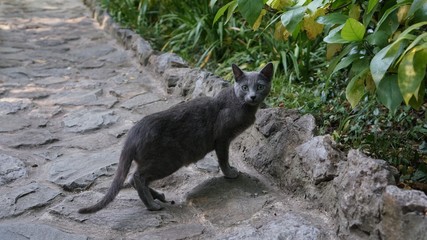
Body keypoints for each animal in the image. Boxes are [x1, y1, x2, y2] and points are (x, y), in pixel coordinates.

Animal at [78, 62, 272, 213]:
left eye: (260, 86)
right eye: (245, 87)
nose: (252, 96)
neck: (242, 105)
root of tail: (133, 133)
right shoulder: (222, 139)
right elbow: (223, 158)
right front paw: (230, 172)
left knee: (134, 178)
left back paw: (158, 196)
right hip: (169, 160)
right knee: (137, 177)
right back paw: (152, 205)